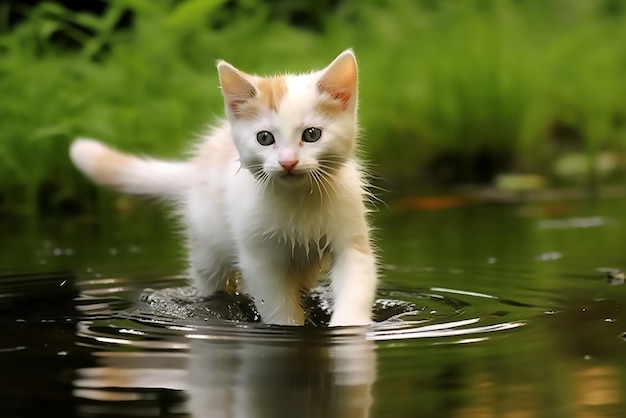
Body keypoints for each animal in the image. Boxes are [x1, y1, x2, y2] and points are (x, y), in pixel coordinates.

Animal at [70, 49, 378, 326]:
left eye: (312, 134)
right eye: (264, 138)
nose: (288, 162)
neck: (298, 200)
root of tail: (195, 168)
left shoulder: (351, 240)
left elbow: (357, 282)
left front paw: (349, 326)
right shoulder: (258, 257)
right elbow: (276, 305)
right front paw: (289, 326)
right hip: (207, 249)